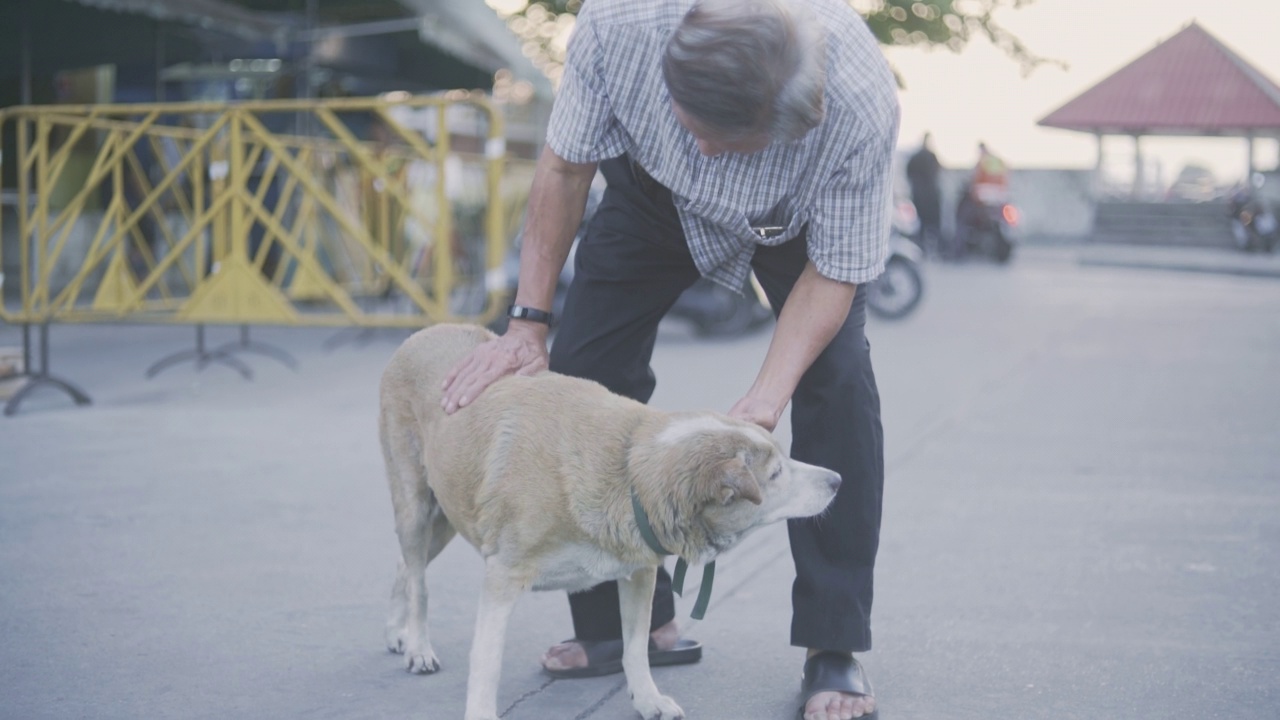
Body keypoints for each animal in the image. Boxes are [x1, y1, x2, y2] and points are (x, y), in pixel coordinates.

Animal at [378, 325, 839, 717]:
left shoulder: (639, 569)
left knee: (404, 563)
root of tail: (425, 331)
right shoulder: (502, 576)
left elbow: (634, 647)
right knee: (417, 576)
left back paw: (397, 630)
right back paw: (417, 644)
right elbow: (486, 661)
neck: (628, 467)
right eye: (775, 474)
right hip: (417, 503)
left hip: (449, 514)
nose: (837, 480)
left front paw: (648, 699)